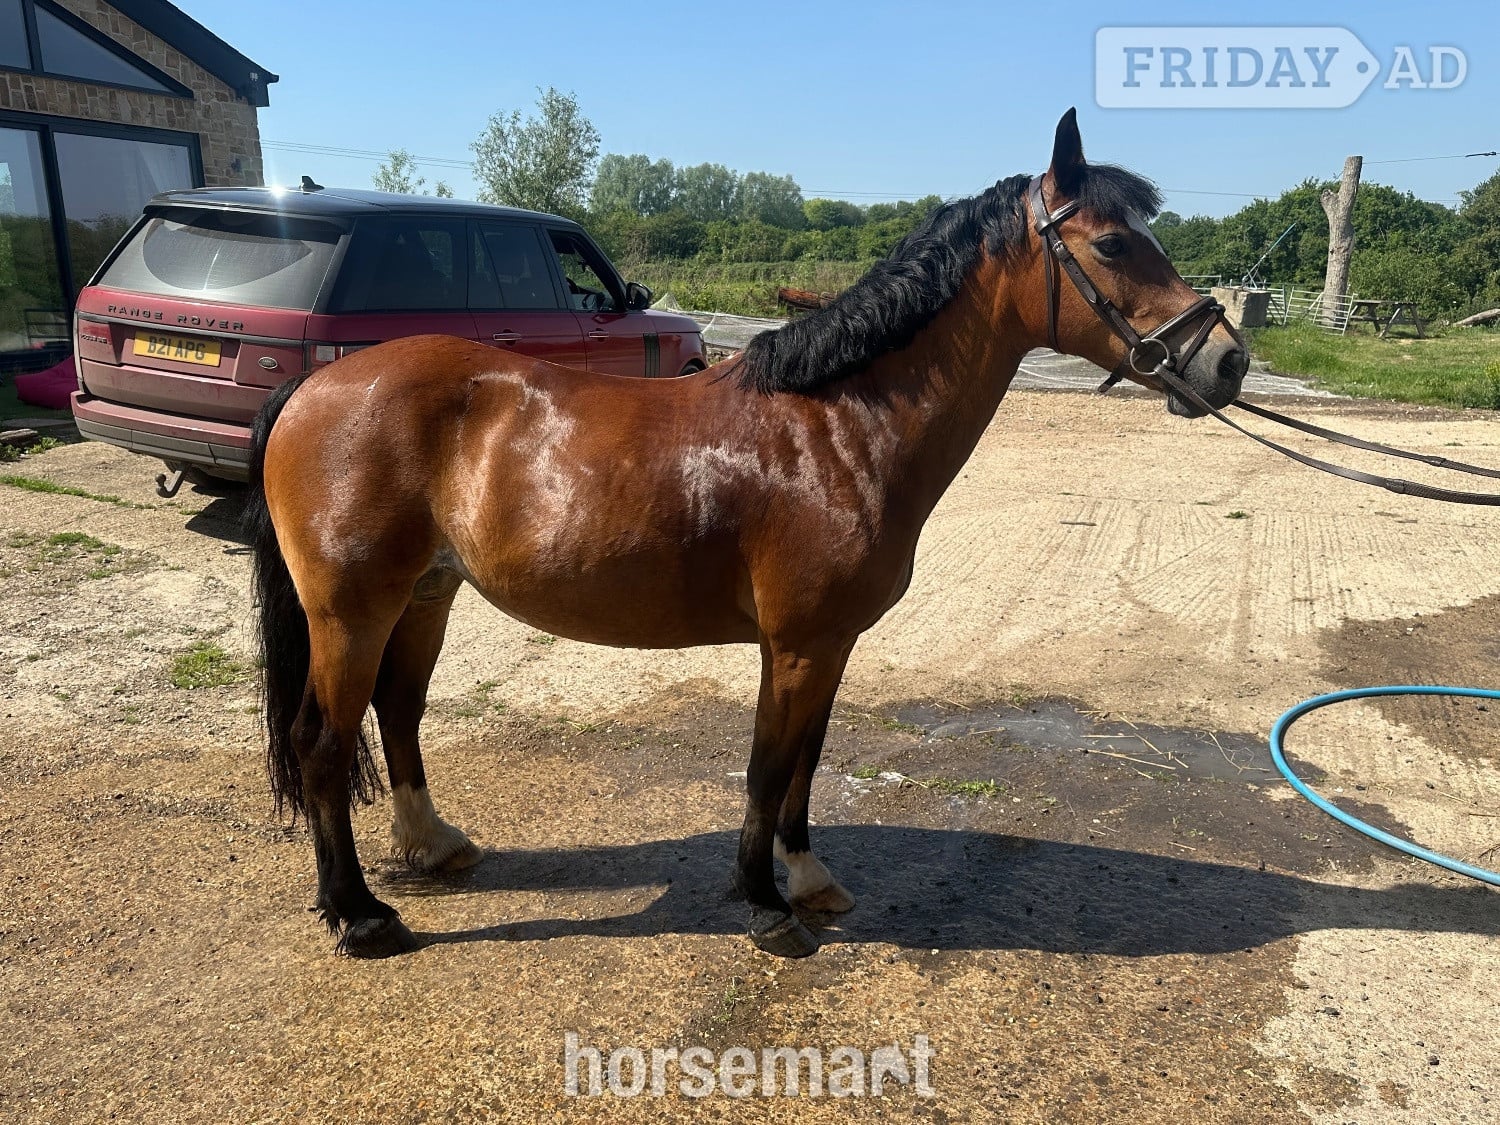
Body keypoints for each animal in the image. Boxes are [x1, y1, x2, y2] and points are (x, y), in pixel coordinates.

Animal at [246, 109, 1247, 959]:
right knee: (323, 741)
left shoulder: (829, 643)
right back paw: (359, 914)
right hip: (351, 611)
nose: (1226, 361)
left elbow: (804, 761)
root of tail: (311, 388)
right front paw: (767, 907)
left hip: (427, 592)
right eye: (1113, 242)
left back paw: (433, 846)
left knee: (398, 711)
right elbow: (767, 768)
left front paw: (807, 878)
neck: (837, 427)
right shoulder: (797, 641)